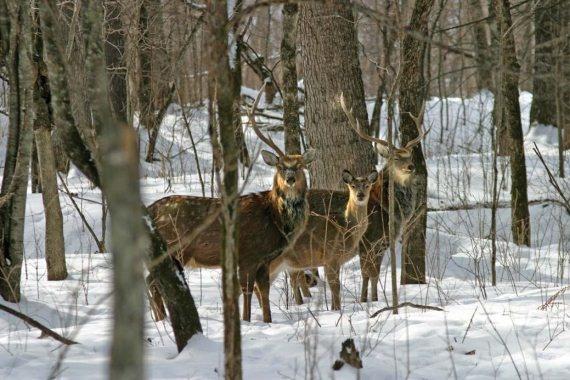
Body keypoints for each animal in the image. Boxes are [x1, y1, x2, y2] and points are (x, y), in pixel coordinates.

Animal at [146, 90, 312, 324]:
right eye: (280, 166)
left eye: (300, 166)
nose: (289, 179)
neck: (275, 219)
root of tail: (149, 210)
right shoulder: (248, 253)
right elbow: (247, 289)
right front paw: (246, 320)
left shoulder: (264, 260)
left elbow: (264, 290)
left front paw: (267, 321)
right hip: (174, 247)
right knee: (152, 282)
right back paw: (161, 319)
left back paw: (161, 319)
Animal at [268, 168, 378, 308]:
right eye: (352, 186)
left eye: (367, 185)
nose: (360, 195)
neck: (346, 228)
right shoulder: (331, 255)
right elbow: (335, 287)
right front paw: (336, 309)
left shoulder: (331, 261)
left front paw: (333, 308)